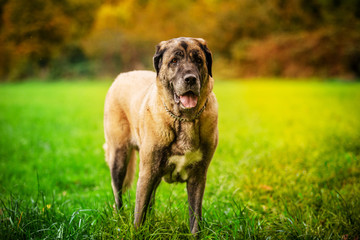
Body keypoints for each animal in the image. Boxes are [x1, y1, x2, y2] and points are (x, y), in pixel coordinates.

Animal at [102, 37, 218, 234]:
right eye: (174, 61)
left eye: (198, 60)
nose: (190, 79)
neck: (184, 119)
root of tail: (122, 76)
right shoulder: (147, 172)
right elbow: (138, 214)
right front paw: (137, 232)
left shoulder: (198, 175)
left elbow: (195, 218)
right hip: (119, 156)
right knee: (118, 193)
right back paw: (120, 218)